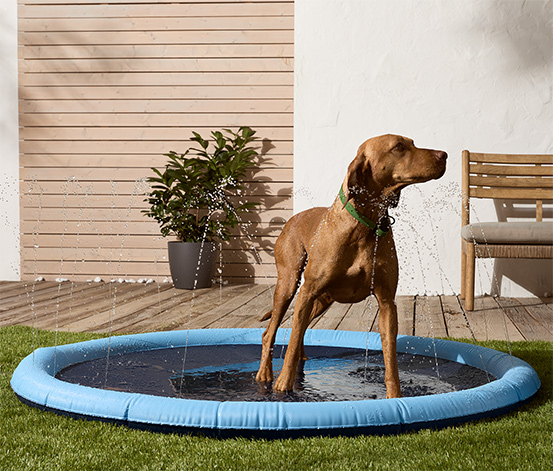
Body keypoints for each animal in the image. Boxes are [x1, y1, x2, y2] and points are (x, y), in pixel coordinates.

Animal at [256, 133, 446, 398]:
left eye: (412, 143)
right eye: (399, 146)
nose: (444, 155)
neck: (364, 226)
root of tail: (291, 219)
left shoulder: (386, 302)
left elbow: (391, 359)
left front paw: (395, 398)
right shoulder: (307, 291)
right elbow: (290, 345)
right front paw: (282, 388)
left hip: (322, 300)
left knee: (300, 329)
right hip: (289, 285)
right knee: (271, 332)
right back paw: (265, 375)